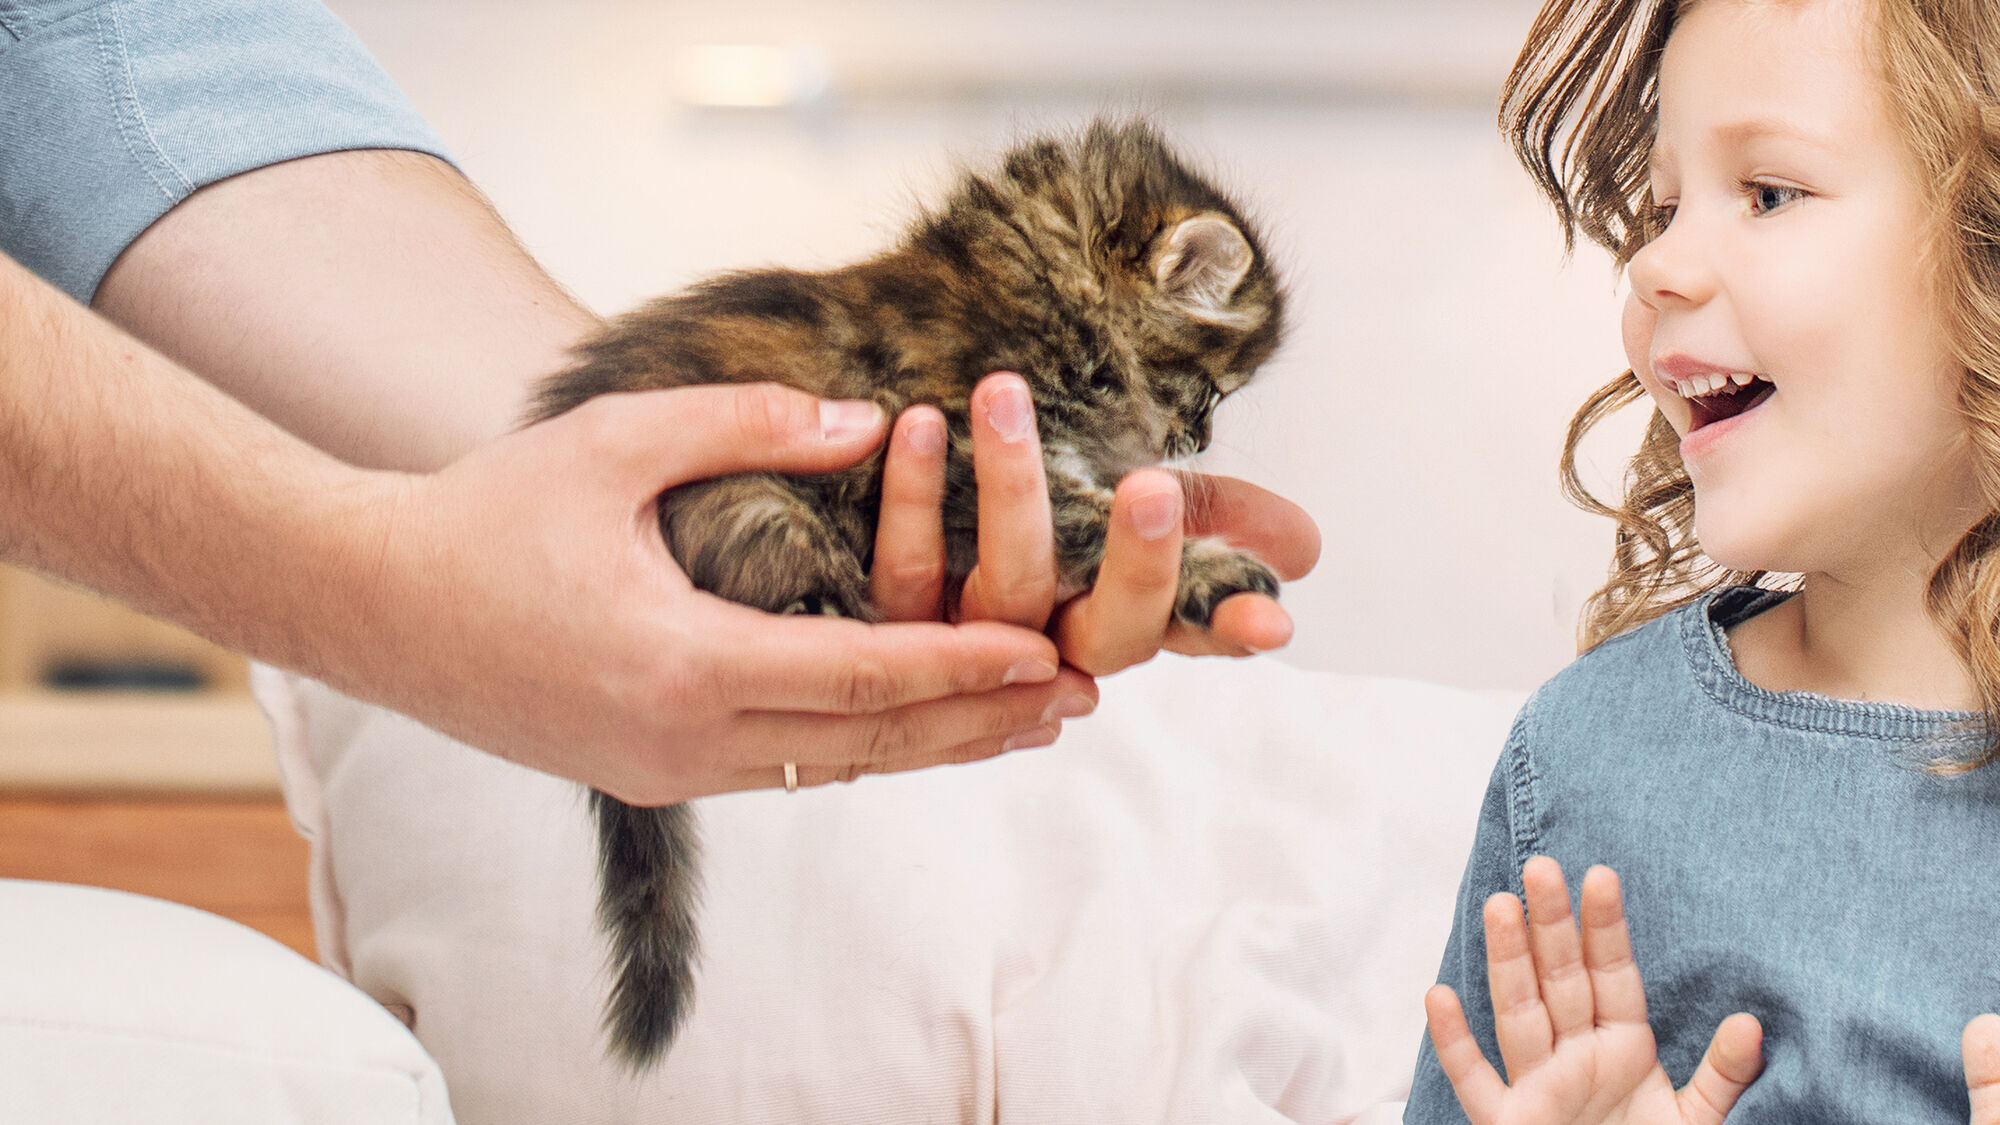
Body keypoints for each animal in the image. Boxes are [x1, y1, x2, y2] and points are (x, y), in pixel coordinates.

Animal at [528, 118, 1280, 1064]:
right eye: (1214, 389)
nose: (1198, 440)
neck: (1032, 290)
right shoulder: (965, 446)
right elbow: (1093, 521)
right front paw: (1205, 564)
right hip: (752, 507)